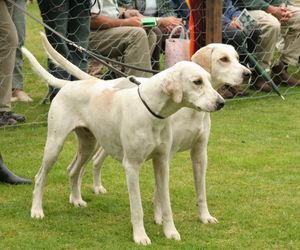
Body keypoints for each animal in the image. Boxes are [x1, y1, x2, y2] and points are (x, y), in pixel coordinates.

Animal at [22, 40, 225, 244]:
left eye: (209, 80)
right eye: (197, 82)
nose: (221, 102)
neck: (152, 111)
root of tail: (69, 84)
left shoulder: (162, 162)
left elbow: (165, 202)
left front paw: (170, 232)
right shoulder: (132, 167)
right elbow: (137, 208)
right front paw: (140, 236)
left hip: (88, 145)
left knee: (72, 170)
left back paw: (77, 200)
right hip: (55, 145)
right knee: (40, 177)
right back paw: (37, 210)